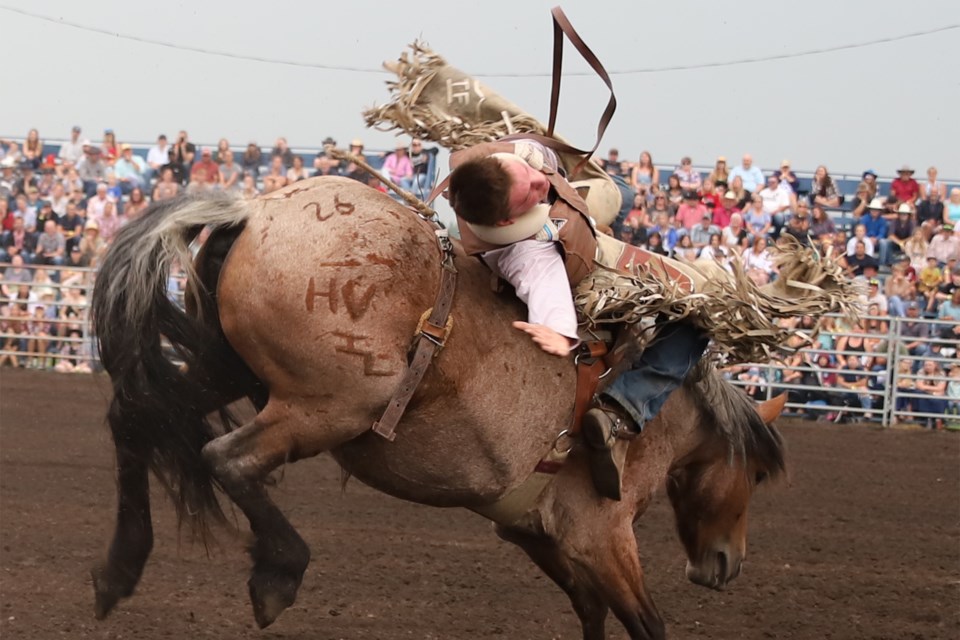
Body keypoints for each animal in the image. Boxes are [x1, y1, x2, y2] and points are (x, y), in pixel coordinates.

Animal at [90, 178, 784, 640]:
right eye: (753, 475)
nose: (727, 564)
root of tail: (256, 209)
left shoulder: (541, 535)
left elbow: (591, 615)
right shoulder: (600, 535)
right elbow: (646, 624)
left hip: (227, 368)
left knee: (135, 419)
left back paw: (118, 569)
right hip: (331, 405)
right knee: (227, 458)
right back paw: (277, 574)